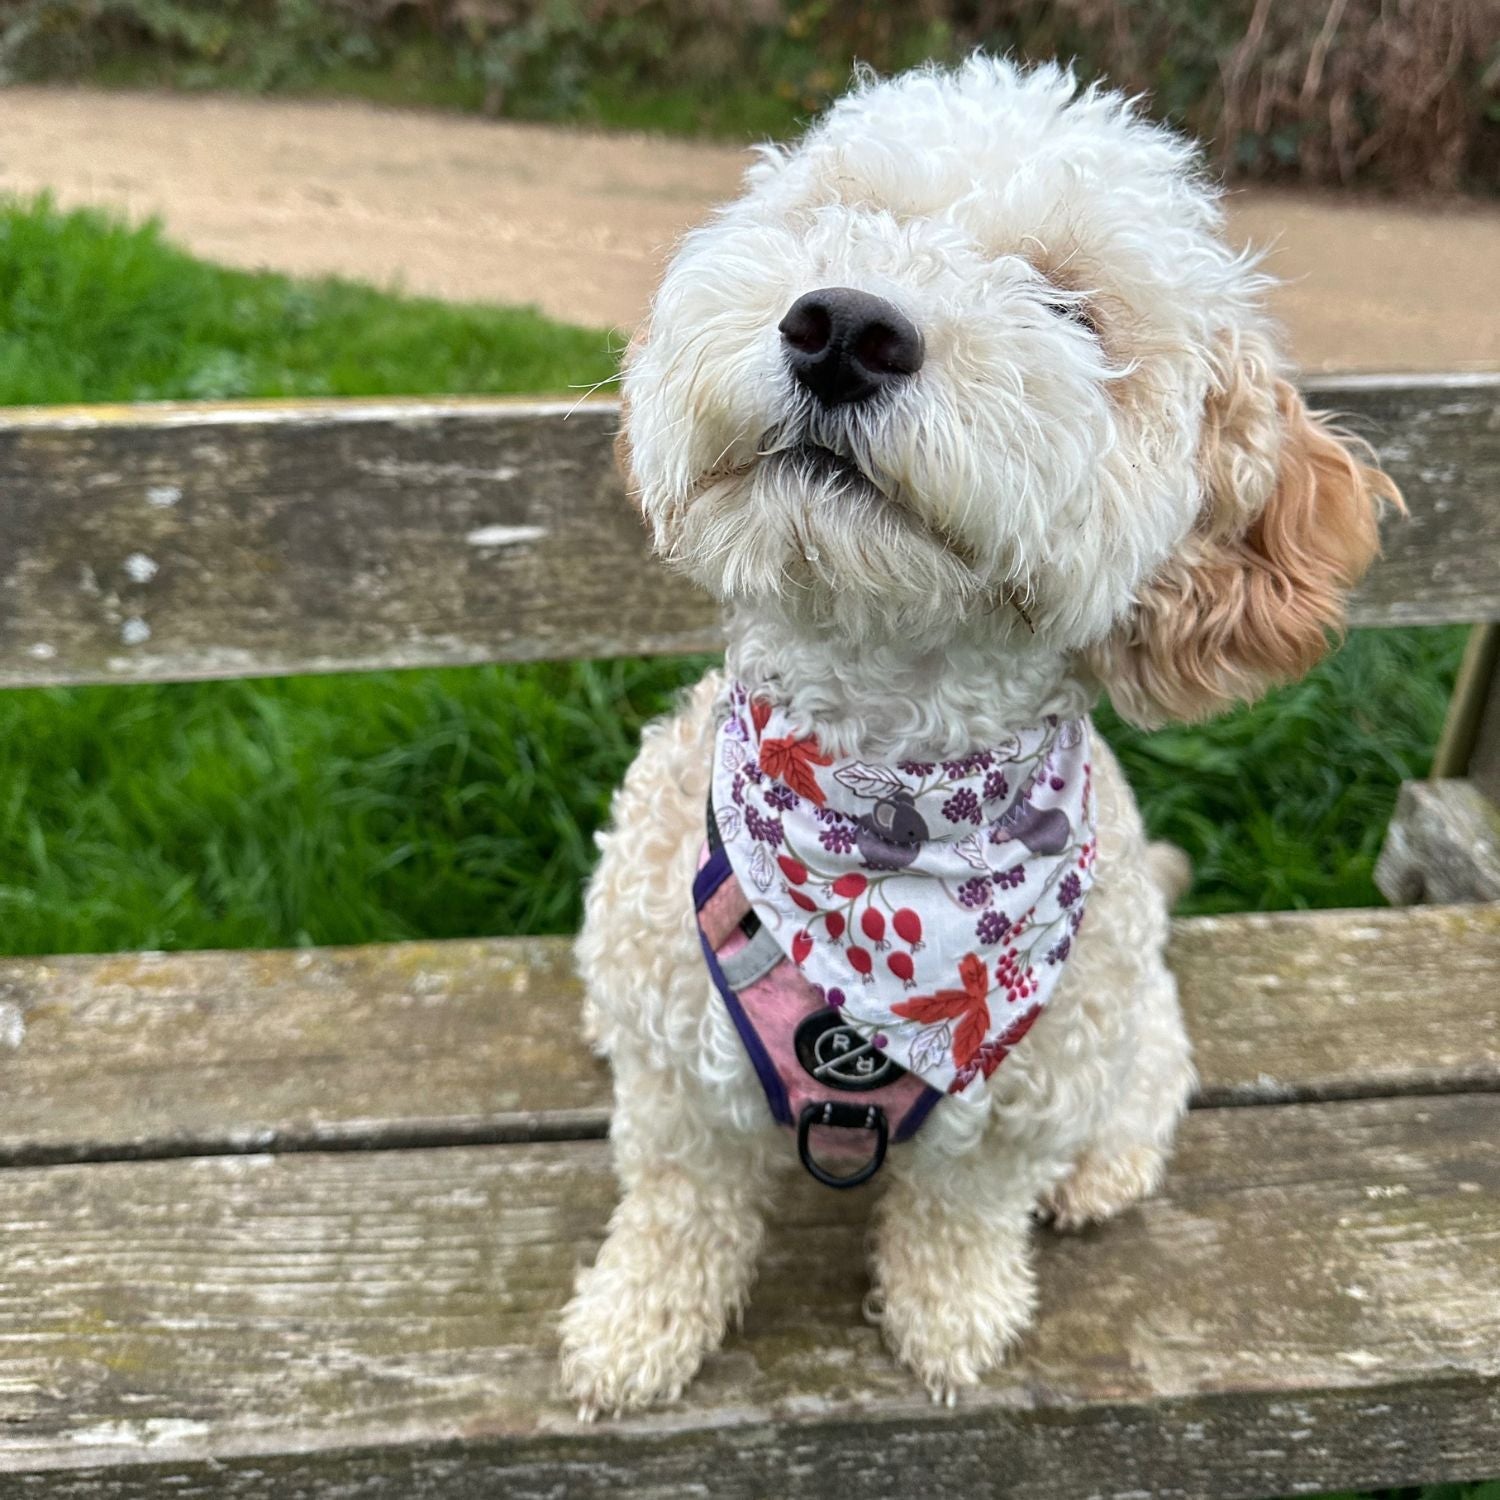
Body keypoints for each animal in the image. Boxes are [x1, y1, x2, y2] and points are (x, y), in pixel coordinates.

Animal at [558, 58, 1398, 1416]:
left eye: (1073, 310)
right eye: (838, 217)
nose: (844, 326)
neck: (884, 785)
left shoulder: (1018, 1105)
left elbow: (962, 1212)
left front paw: (953, 1322)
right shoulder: (678, 1084)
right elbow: (679, 1210)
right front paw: (634, 1330)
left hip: (1133, 1022)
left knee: (1151, 1086)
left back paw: (1103, 1175)